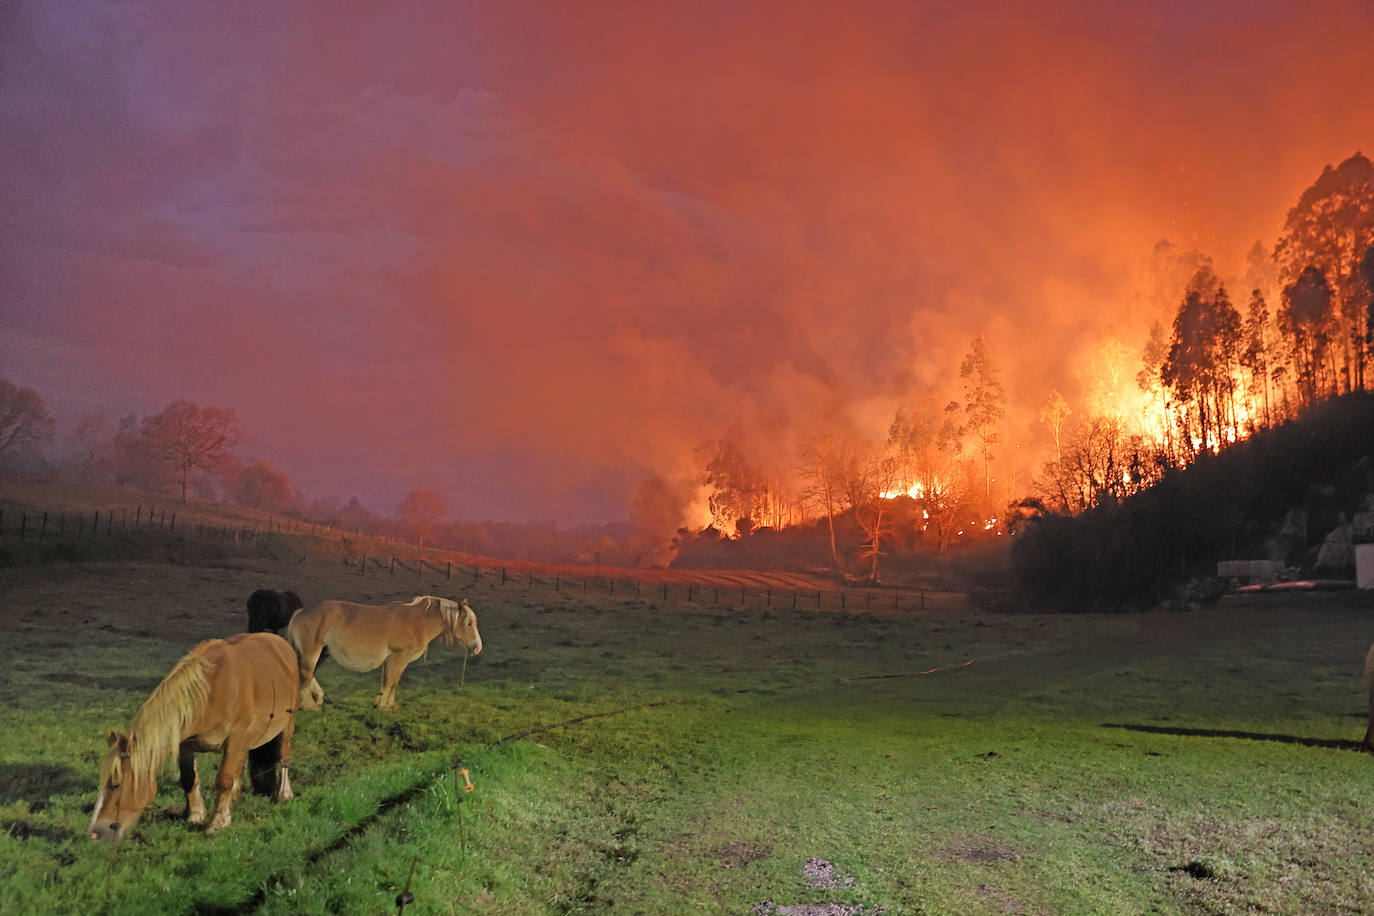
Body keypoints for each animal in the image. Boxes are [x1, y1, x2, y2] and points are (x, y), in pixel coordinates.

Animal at [89, 634, 299, 840]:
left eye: (115, 785)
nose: (94, 833)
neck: (209, 693)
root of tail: (280, 642)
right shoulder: (184, 744)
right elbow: (189, 778)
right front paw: (195, 814)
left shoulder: (235, 738)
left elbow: (224, 779)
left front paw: (217, 822)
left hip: (287, 725)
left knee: (283, 756)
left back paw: (283, 793)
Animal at [288, 598, 483, 714]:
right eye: (469, 623)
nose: (477, 647)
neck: (417, 622)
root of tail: (300, 612)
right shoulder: (397, 658)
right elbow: (389, 681)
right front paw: (383, 705)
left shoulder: (400, 662)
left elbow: (393, 682)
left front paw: (387, 704)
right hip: (312, 653)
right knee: (305, 675)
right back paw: (310, 705)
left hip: (322, 653)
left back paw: (318, 697)